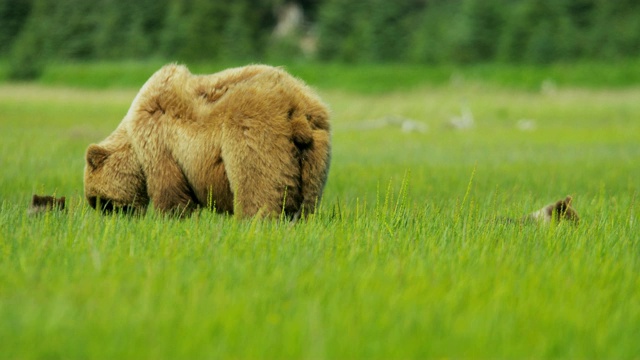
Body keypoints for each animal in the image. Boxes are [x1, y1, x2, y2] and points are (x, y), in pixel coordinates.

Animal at [84, 63, 330, 218]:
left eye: (97, 199)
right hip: (315, 149)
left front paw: (174, 218)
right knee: (307, 200)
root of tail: (295, 109)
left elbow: (171, 191)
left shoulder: (160, 141)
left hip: (257, 135)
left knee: (258, 188)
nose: (111, 217)